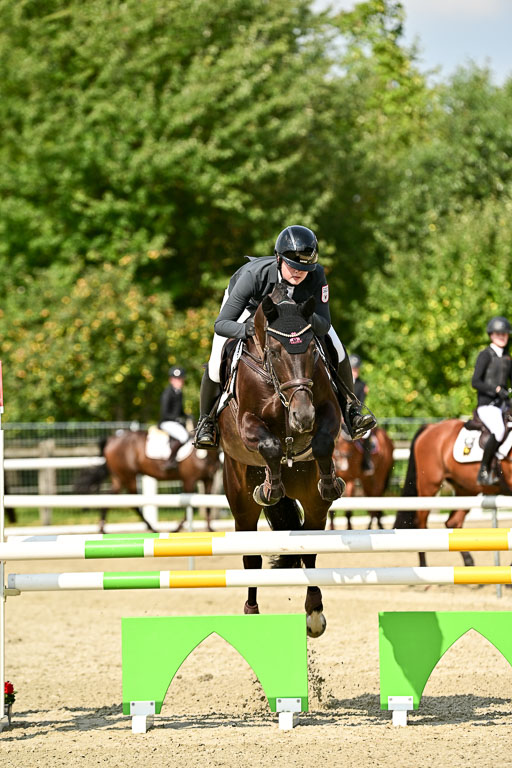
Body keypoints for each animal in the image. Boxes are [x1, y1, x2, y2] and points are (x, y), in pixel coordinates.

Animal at [75, 431, 222, 532]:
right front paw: (176, 529)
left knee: (109, 498)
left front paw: (210, 529)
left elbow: (208, 505)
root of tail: (113, 439)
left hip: (119, 478)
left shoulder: (208, 479)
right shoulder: (189, 480)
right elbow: (188, 507)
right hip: (128, 476)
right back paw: (152, 528)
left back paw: (102, 528)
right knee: (133, 503)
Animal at [218, 283, 344, 638]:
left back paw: (314, 614)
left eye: (313, 352)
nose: (303, 416)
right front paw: (270, 489)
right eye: (275, 352)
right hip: (241, 505)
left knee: (310, 550)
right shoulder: (247, 422)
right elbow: (271, 445)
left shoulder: (327, 408)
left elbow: (323, 440)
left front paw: (330, 482)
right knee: (251, 560)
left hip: (312, 504)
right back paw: (251, 610)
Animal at [394, 417, 512, 567]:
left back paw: (470, 564)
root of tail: (431, 427)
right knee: (420, 523)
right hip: (429, 486)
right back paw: (424, 566)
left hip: (466, 489)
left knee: (453, 522)